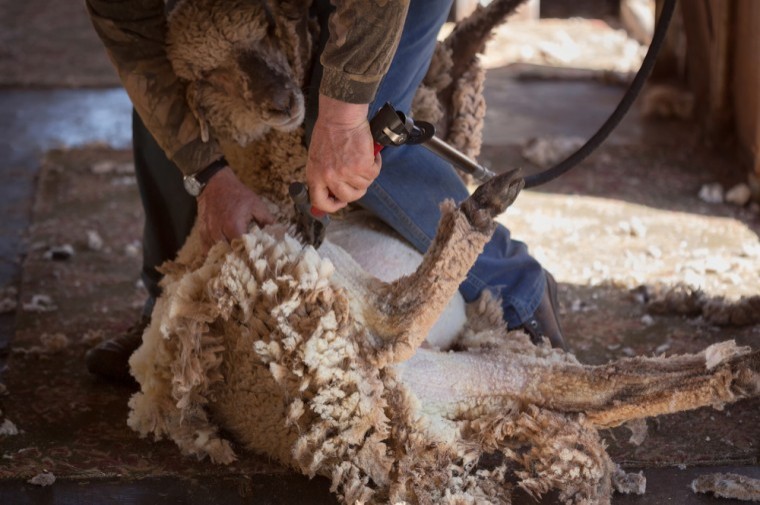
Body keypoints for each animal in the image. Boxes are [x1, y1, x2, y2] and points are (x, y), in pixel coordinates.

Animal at [126, 1, 760, 502]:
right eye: (208, 76)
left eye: (266, 29)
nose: (283, 100)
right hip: (300, 278)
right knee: (394, 317)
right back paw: (481, 209)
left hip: (446, 376)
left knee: (590, 387)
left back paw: (734, 373)